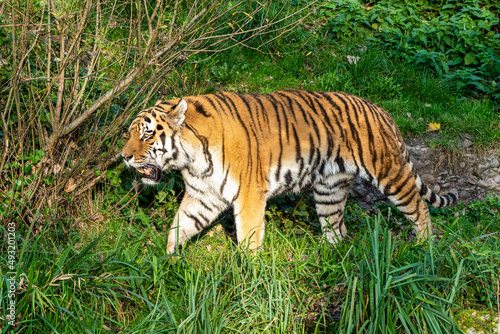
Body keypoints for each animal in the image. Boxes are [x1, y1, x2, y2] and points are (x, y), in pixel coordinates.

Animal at [121, 90, 458, 252]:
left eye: (147, 135)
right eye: (129, 133)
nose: (123, 157)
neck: (192, 159)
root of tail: (382, 111)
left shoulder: (249, 195)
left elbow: (249, 237)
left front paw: (248, 275)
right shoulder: (203, 196)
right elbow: (179, 227)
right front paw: (166, 262)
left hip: (390, 174)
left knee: (419, 209)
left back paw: (425, 249)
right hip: (329, 189)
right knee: (336, 227)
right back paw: (329, 256)